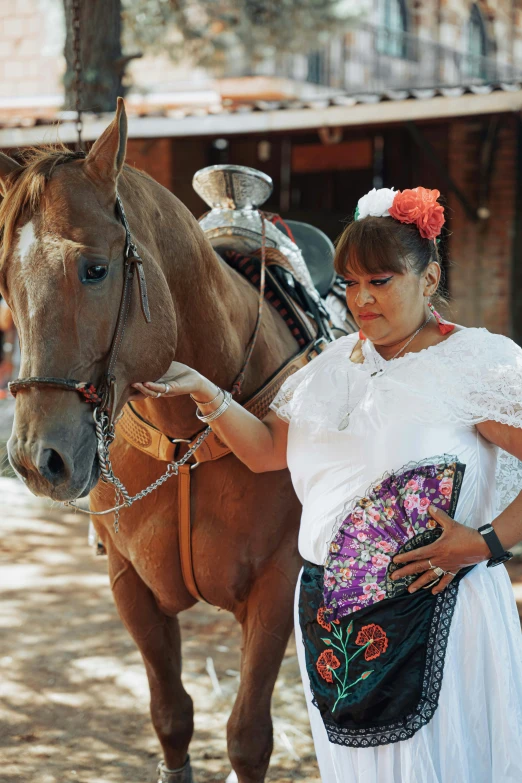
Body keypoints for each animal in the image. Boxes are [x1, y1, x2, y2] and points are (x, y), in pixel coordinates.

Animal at [0, 101, 304, 780]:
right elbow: (171, 719)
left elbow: (248, 737)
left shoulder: (276, 587)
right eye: (6, 284)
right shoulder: (130, 586)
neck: (189, 440)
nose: (36, 461)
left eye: (95, 269)